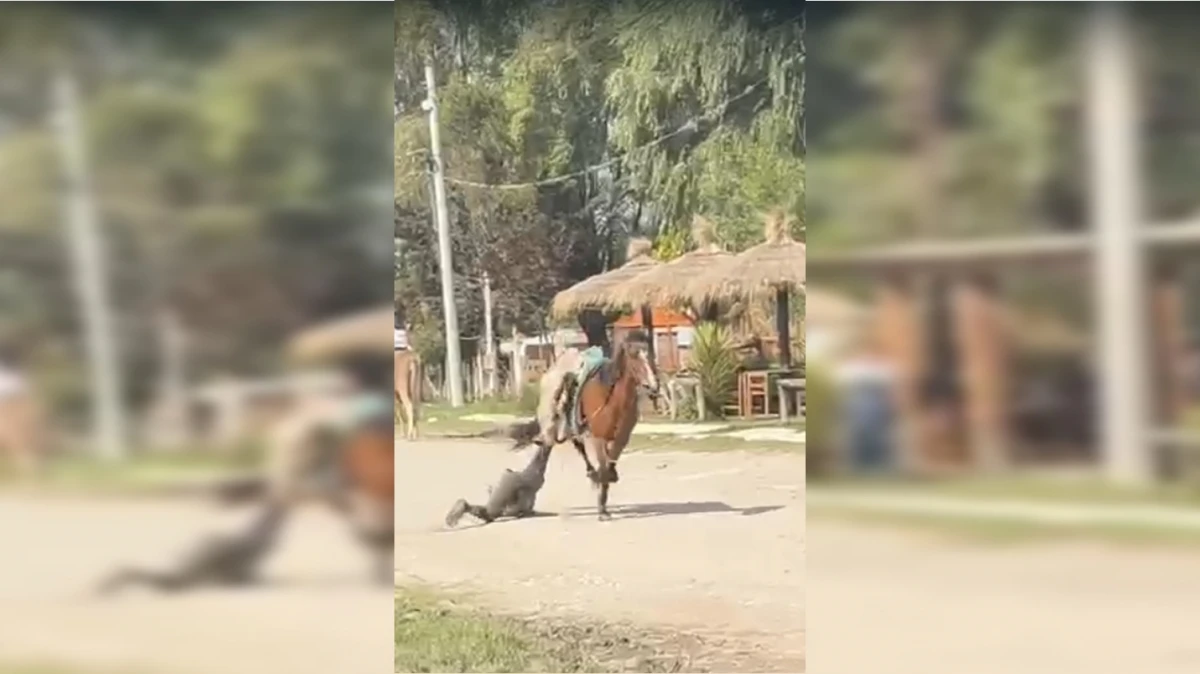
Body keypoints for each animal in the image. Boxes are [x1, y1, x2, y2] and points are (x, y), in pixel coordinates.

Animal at [568, 340, 662, 520]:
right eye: (633, 357)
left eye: (650, 355)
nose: (653, 386)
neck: (614, 402)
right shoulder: (598, 438)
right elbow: (603, 467)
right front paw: (601, 509)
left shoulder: (621, 438)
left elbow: (610, 462)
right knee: (580, 448)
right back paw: (592, 473)